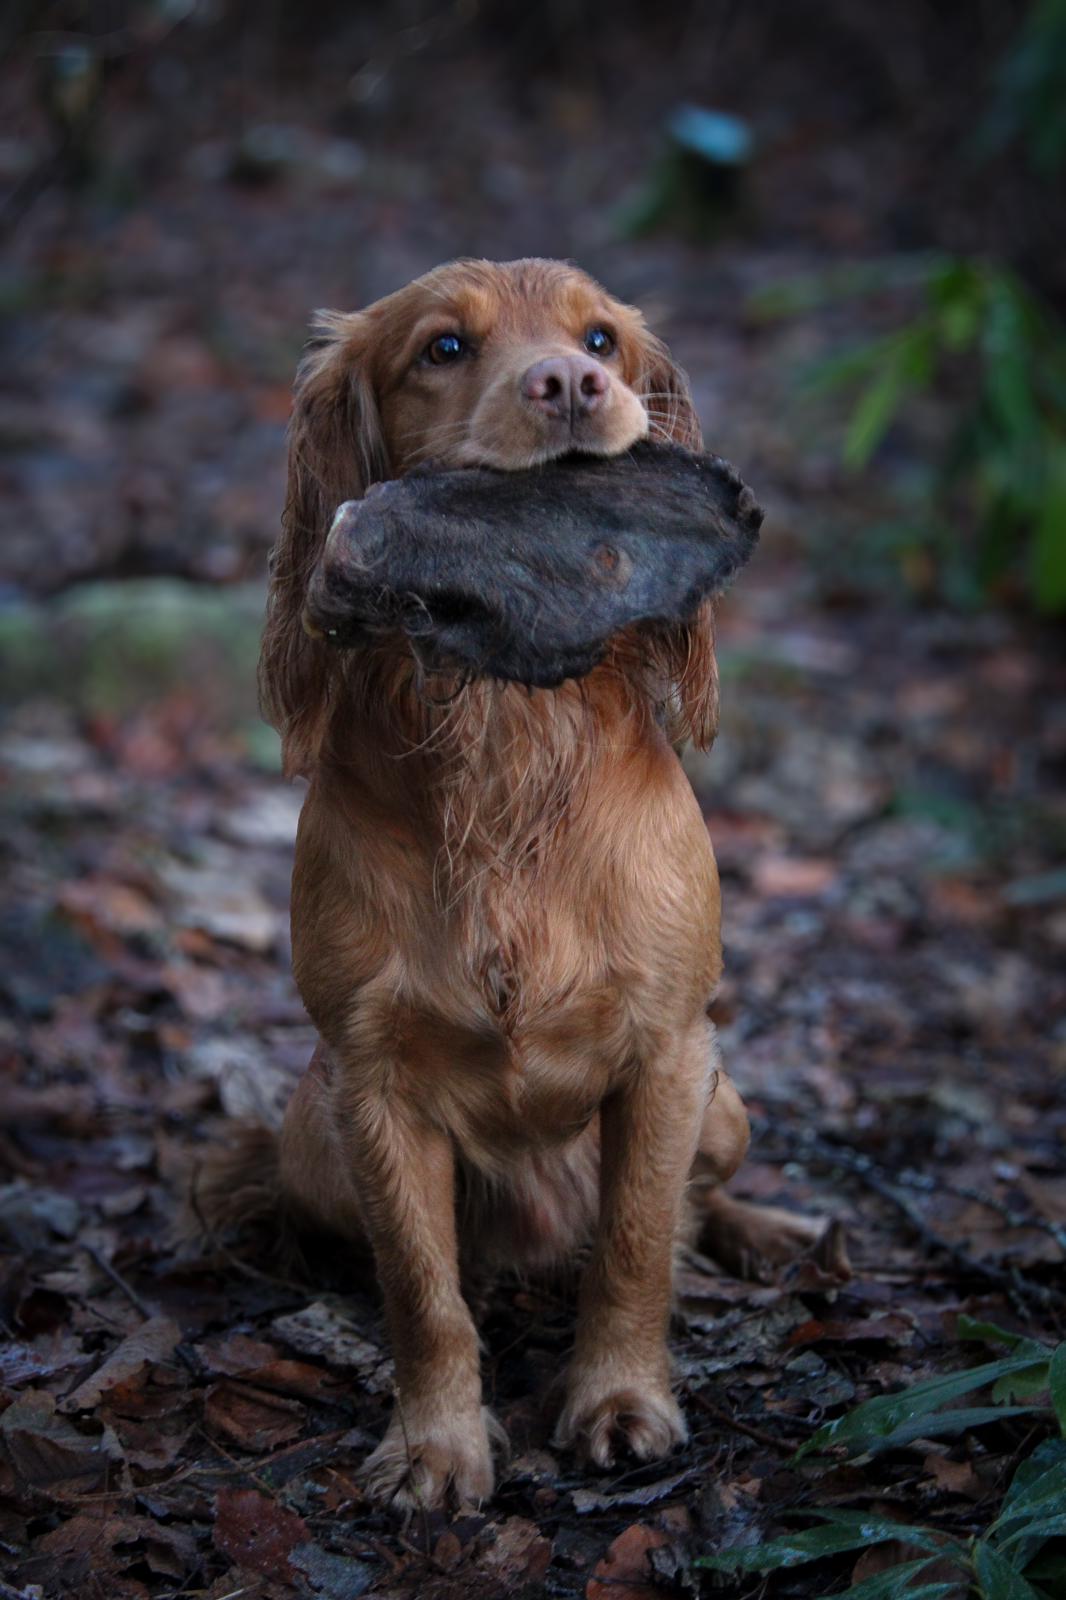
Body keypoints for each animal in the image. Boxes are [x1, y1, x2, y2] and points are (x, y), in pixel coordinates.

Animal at [201, 256, 819, 1504]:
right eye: (443, 348)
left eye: (600, 338)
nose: (571, 384)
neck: (508, 735)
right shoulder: (372, 1082)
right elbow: (420, 1290)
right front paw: (435, 1446)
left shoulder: (667, 1051)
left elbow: (632, 1247)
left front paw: (621, 1401)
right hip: (310, 1134)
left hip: (722, 1097)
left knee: (696, 1200)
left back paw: (767, 1231)